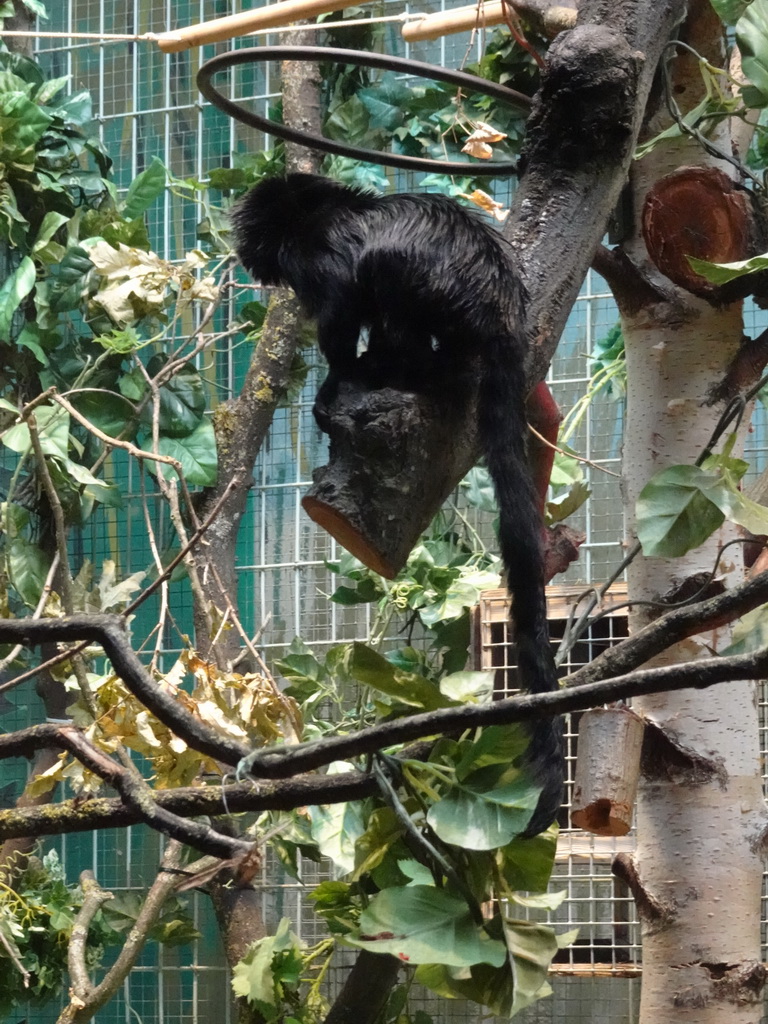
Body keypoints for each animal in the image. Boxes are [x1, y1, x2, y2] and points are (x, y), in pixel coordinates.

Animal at [231, 172, 561, 835]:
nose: (247, 255)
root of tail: (501, 317)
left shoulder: (320, 263)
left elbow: (339, 315)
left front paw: (339, 379)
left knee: (386, 285)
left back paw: (398, 366)